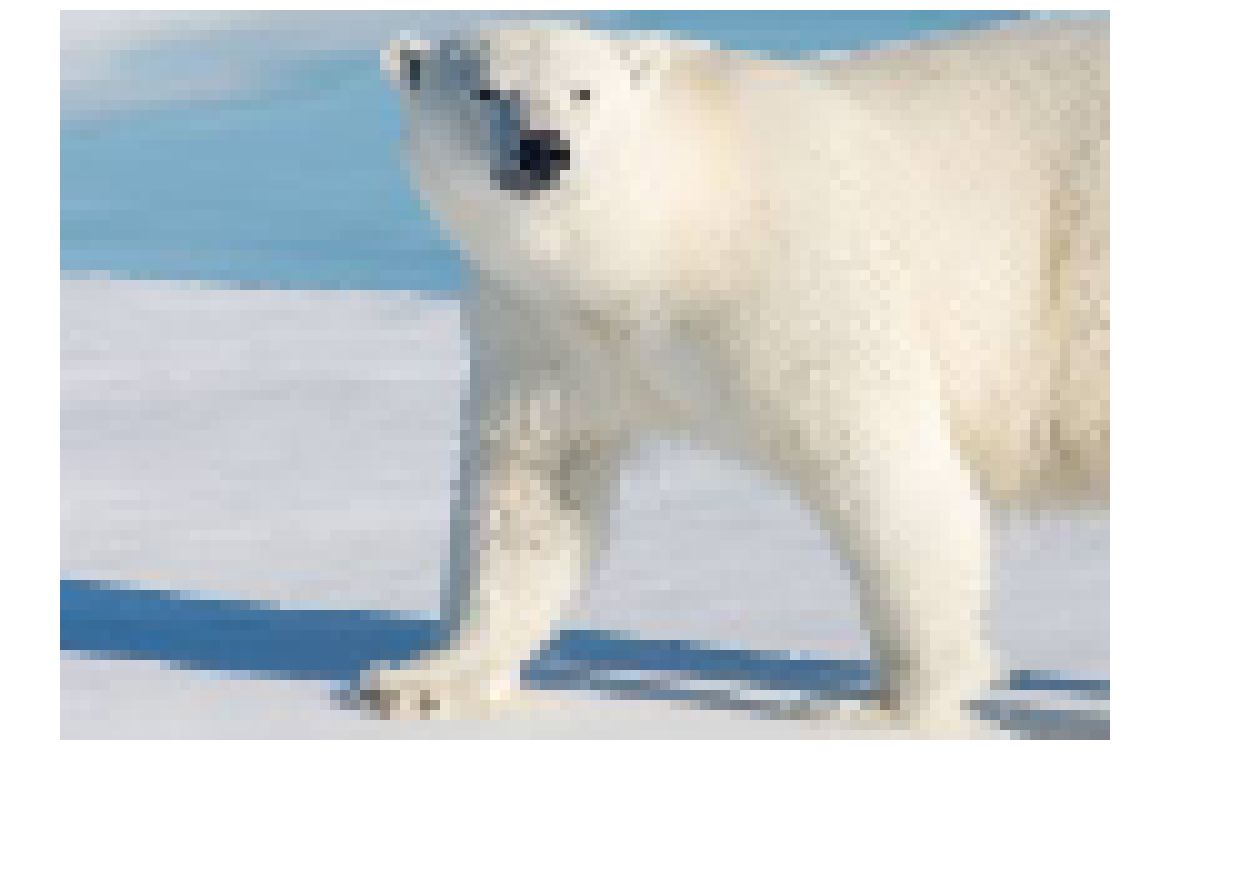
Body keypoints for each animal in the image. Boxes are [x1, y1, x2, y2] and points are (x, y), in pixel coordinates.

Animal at [364, 19, 1109, 736]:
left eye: (583, 92)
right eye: (487, 90)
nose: (544, 148)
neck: (680, 228)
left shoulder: (796, 281)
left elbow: (884, 471)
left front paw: (887, 706)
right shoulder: (547, 329)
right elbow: (534, 490)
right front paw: (421, 682)